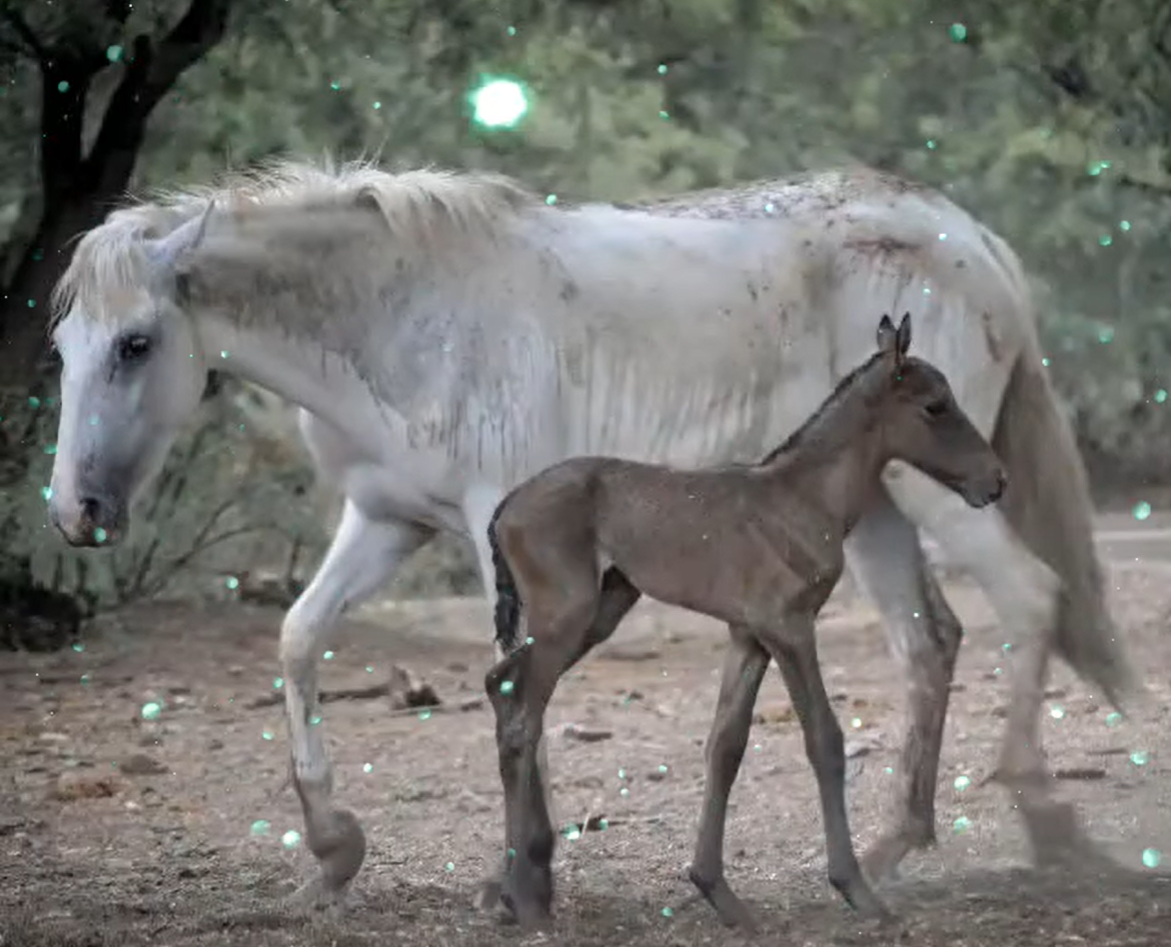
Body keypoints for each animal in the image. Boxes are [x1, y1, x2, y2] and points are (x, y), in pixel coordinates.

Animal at [484, 316, 1007, 931]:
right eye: (935, 406)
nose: (995, 481)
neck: (802, 497)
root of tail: (506, 506)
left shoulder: (749, 634)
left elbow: (726, 745)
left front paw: (718, 892)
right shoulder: (790, 626)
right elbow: (824, 739)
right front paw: (856, 889)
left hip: (601, 609)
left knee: (501, 686)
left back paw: (517, 890)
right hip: (565, 617)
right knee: (522, 717)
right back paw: (525, 900)